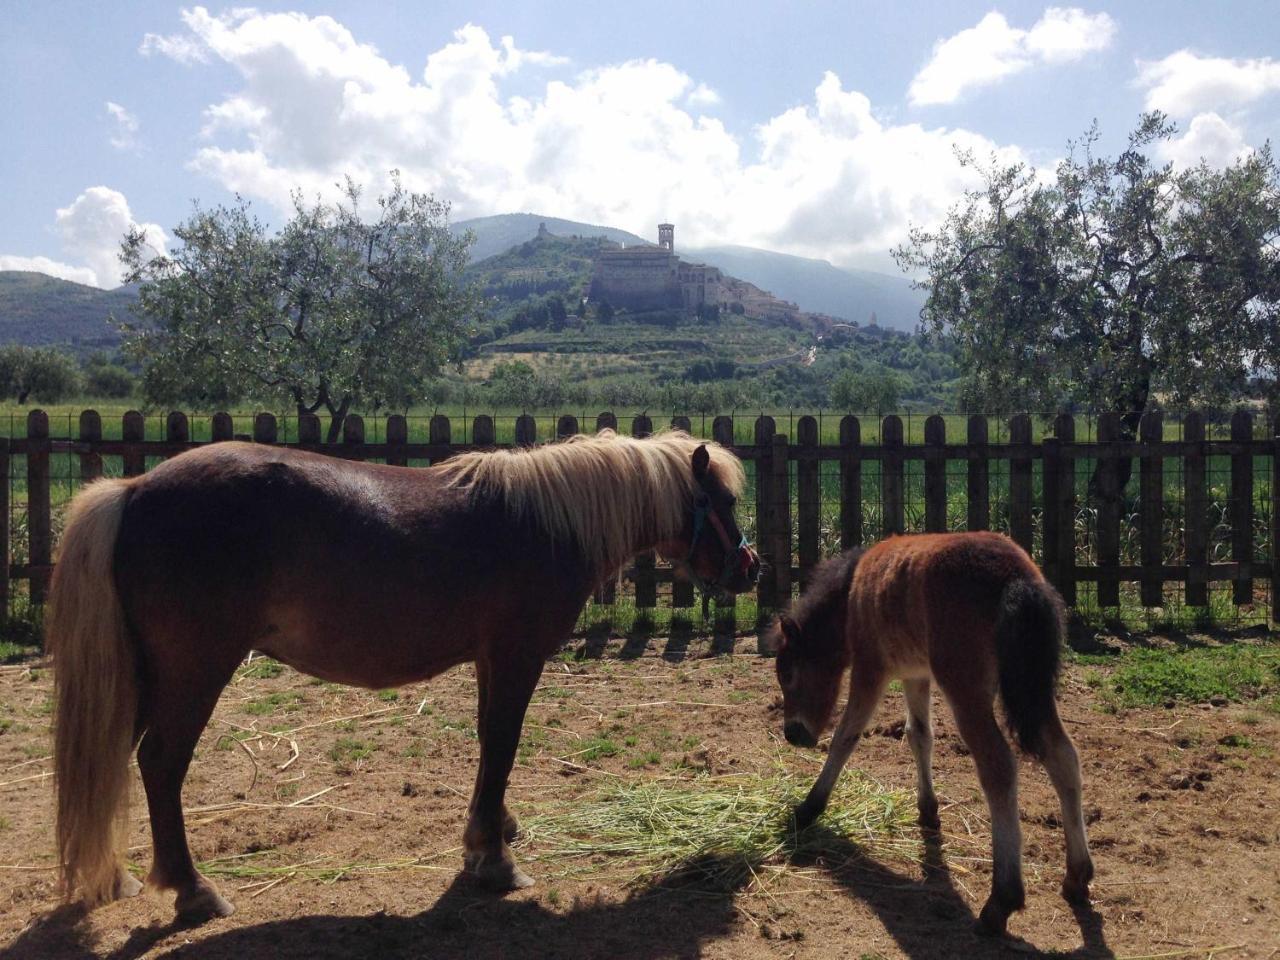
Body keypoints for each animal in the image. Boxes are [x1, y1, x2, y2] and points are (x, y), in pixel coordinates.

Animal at [49, 430, 752, 926]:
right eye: (722, 501)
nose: (751, 568)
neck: (543, 523)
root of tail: (134, 491)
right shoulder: (518, 655)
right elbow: (503, 745)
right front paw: (495, 861)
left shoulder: (491, 660)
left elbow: (489, 748)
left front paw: (491, 833)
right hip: (195, 670)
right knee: (161, 764)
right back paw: (193, 891)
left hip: (147, 676)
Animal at [768, 529, 1090, 936]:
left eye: (788, 673)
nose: (793, 734)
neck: (851, 594)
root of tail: (1018, 579)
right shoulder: (916, 674)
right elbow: (919, 735)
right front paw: (927, 811)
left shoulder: (871, 670)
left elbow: (846, 736)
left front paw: (809, 808)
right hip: (1034, 691)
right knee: (1064, 757)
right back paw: (1077, 876)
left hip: (965, 689)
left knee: (999, 767)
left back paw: (1001, 900)